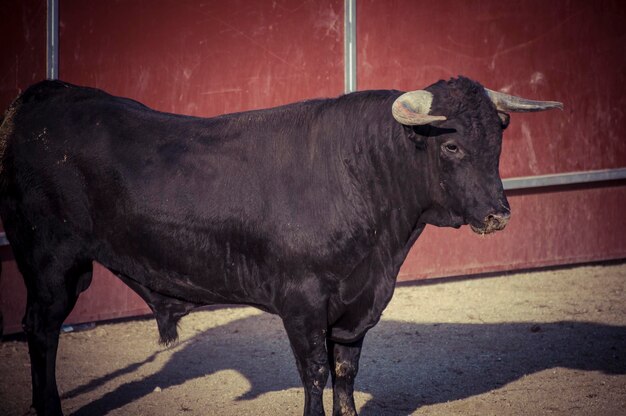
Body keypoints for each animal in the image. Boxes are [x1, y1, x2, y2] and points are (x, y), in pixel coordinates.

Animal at [0, 76, 560, 414]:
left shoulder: (357, 305)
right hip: (50, 262)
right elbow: (313, 373)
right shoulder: (303, 304)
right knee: (42, 331)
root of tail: (43, 96)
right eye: (451, 145)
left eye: (498, 141)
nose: (498, 215)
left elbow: (345, 372)